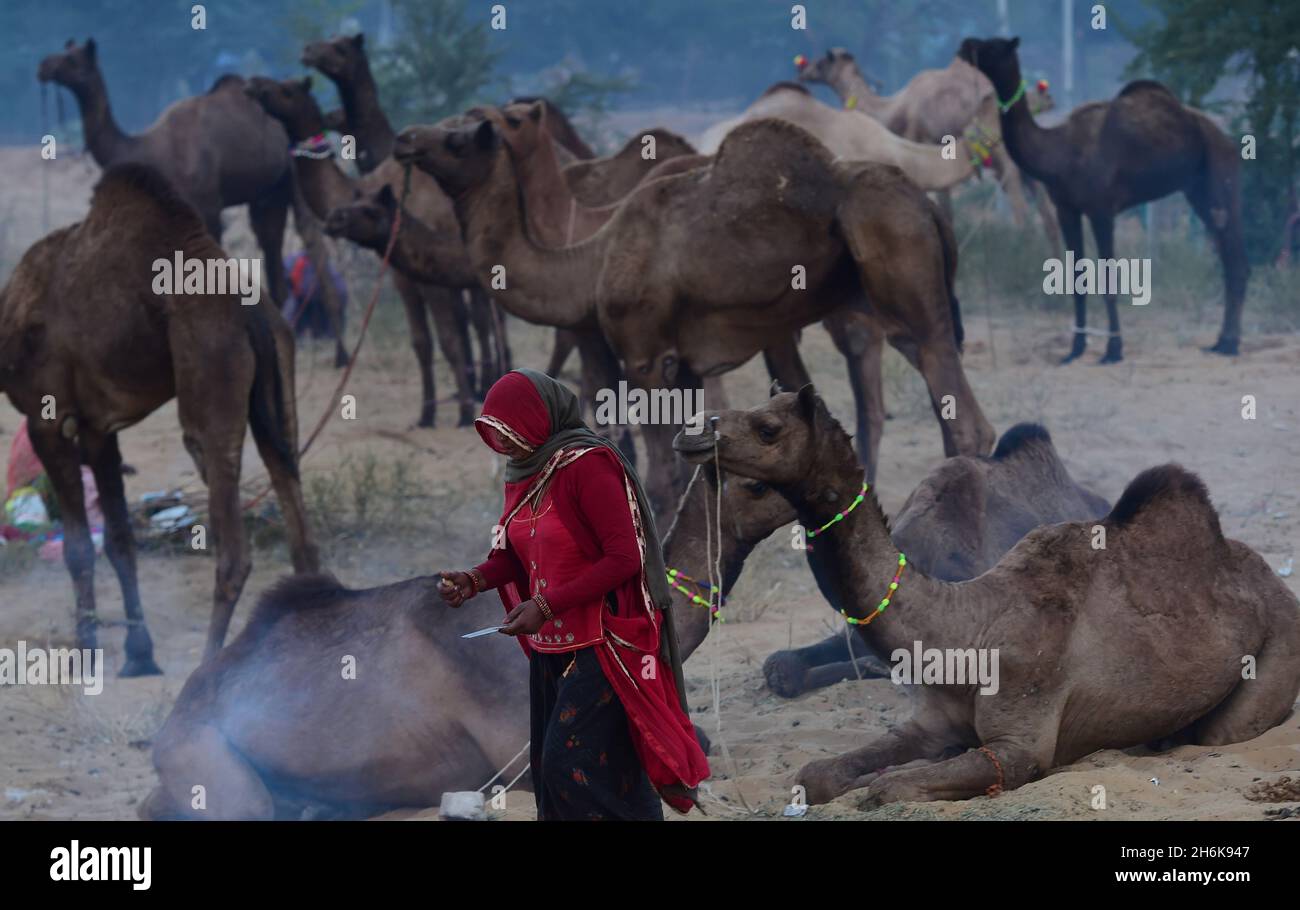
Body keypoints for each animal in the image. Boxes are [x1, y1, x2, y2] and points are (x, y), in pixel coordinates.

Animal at [0, 163, 319, 676]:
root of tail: (249, 311)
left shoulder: (47, 417)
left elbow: (78, 548)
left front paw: (86, 650)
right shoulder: (96, 427)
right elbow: (119, 542)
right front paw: (139, 654)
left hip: (210, 382)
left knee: (233, 552)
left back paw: (210, 667)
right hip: (281, 377)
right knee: (300, 531)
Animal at [956, 37, 1248, 361]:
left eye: (994, 45)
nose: (965, 44)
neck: (1057, 153)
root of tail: (1229, 140)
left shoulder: (1101, 210)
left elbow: (1109, 279)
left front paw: (1113, 350)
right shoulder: (1066, 209)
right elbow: (1075, 280)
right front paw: (1075, 349)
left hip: (1221, 178)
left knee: (1235, 257)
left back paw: (1230, 344)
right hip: (1197, 191)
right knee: (1228, 255)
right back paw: (1221, 341)